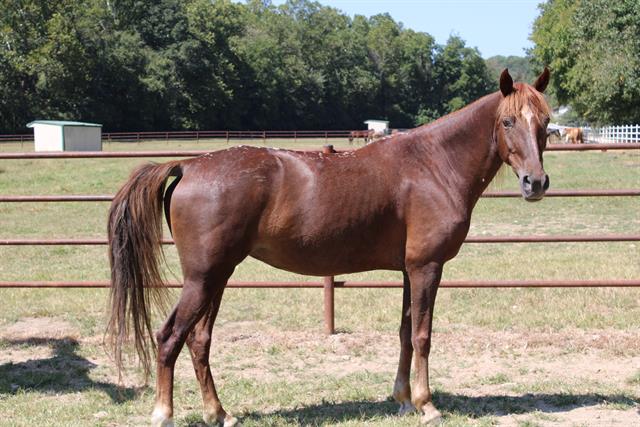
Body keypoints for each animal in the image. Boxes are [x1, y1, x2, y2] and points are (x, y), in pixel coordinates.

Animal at [106, 68, 552, 426]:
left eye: (545, 122)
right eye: (508, 121)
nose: (536, 182)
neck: (432, 165)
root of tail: (189, 165)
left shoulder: (409, 270)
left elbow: (405, 333)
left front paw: (404, 400)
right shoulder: (427, 267)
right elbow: (423, 335)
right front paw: (427, 405)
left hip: (216, 277)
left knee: (199, 341)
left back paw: (220, 414)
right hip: (203, 278)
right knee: (169, 337)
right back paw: (164, 414)